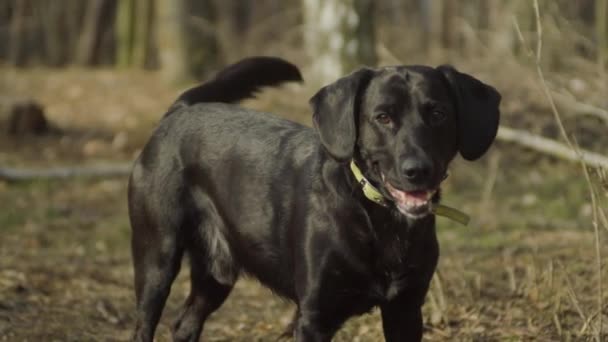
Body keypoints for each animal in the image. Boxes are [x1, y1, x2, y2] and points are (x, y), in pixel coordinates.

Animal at [127, 56, 498, 340]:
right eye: (383, 117)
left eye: (438, 114)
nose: (417, 170)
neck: (375, 219)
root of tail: (180, 111)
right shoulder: (314, 318)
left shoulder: (405, 311)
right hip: (157, 260)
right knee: (145, 323)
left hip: (216, 273)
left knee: (185, 324)